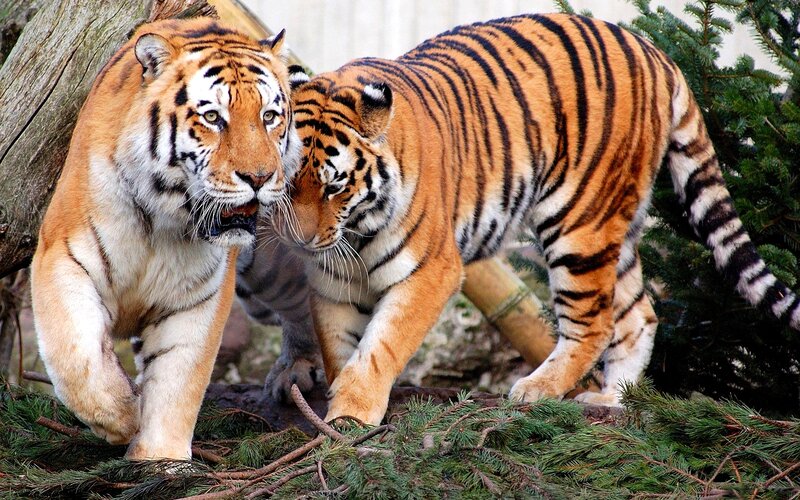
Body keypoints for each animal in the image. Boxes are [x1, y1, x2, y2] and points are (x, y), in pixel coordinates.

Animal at [30, 17, 303, 460]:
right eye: (212, 117)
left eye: (269, 116)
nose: (260, 177)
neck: (164, 219)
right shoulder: (63, 256)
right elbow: (76, 354)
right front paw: (122, 416)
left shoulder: (199, 297)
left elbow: (178, 381)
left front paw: (160, 459)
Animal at [265, 13, 800, 425]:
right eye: (287, 184)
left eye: (335, 186)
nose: (301, 241)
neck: (354, 230)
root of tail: (653, 51)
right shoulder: (332, 280)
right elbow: (339, 345)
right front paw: (337, 399)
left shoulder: (431, 271)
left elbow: (381, 346)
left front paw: (352, 412)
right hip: (617, 227)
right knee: (638, 314)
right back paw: (612, 399)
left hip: (579, 223)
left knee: (594, 323)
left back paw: (535, 390)